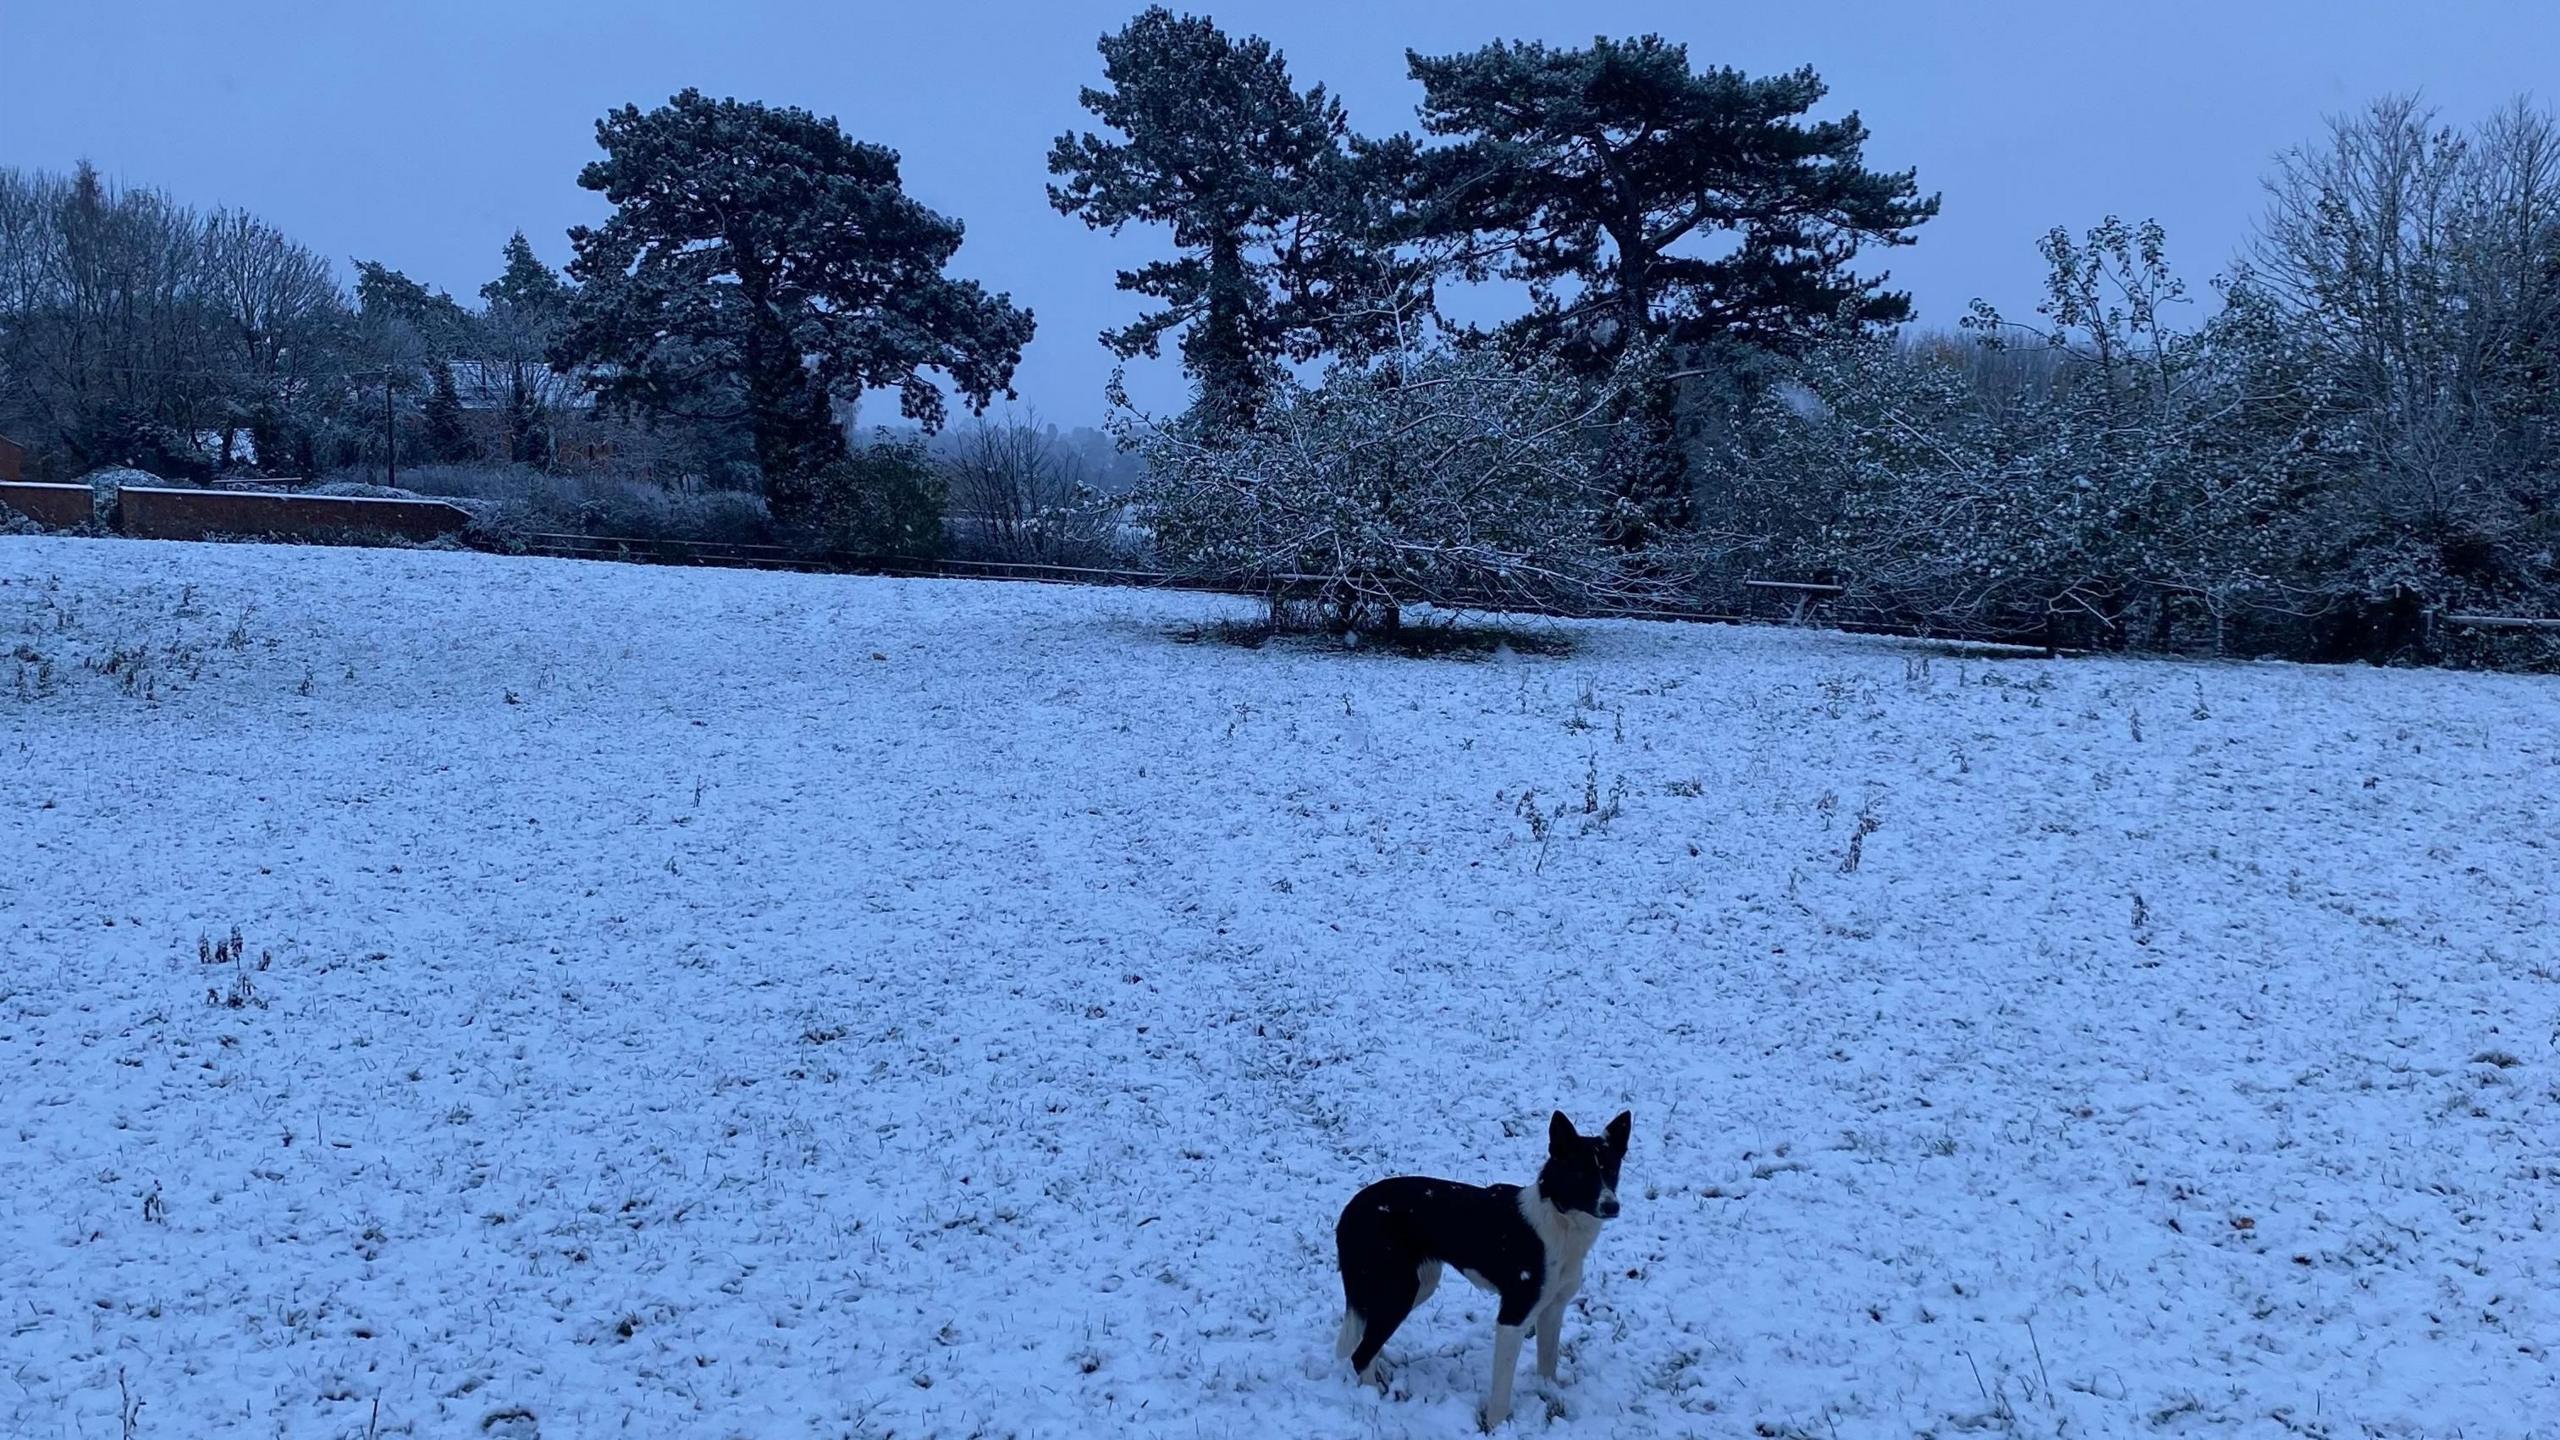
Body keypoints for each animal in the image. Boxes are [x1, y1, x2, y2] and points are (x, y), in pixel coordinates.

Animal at [1331, 1101, 1628, 1414]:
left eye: (1611, 1171)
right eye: (1581, 1174)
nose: (1612, 1206)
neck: (1560, 1222)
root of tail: (1350, 1210)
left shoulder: (1553, 1309)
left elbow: (1548, 1365)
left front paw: (1548, 1395)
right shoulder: (1513, 1316)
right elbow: (1501, 1391)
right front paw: (1498, 1422)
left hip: (1418, 1283)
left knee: (1369, 1336)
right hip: (1401, 1288)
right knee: (1361, 1354)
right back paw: (1373, 1397)